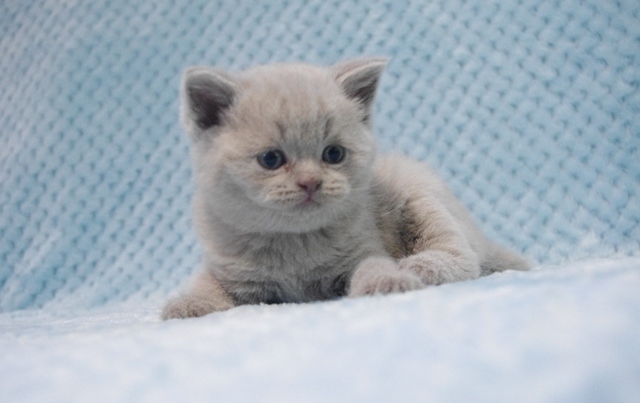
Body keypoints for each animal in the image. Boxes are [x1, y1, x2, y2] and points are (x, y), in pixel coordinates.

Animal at [161, 57, 530, 320]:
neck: (294, 246)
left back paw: (418, 266)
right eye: (271, 159)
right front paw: (187, 304)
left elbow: (373, 265)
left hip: (416, 192)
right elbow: (205, 282)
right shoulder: (227, 268)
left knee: (464, 258)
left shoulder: (365, 249)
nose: (310, 181)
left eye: (333, 154)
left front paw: (387, 282)